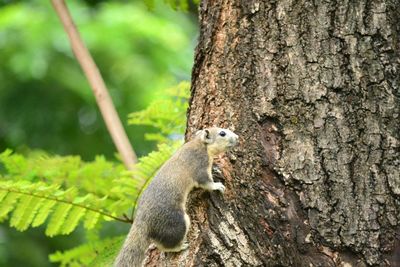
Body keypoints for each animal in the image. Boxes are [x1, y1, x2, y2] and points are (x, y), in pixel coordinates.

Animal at [113, 127, 238, 267]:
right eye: (222, 133)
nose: (237, 137)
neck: (201, 144)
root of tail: (142, 220)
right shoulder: (199, 165)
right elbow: (205, 182)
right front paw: (217, 185)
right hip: (176, 222)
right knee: (168, 244)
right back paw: (180, 247)